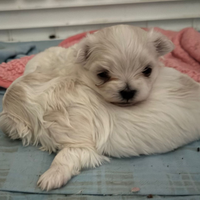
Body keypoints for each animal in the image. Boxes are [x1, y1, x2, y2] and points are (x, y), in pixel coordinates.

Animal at [0, 25, 200, 191]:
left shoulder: (81, 144)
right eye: (103, 74)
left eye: (147, 71)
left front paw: (51, 176)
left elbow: (65, 156)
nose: (128, 92)